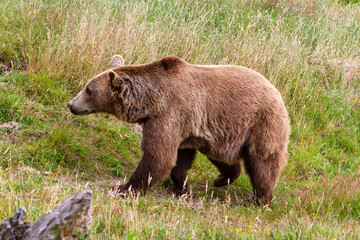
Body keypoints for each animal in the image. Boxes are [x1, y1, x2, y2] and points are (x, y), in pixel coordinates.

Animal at [67, 54, 292, 204]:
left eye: (89, 89)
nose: (71, 104)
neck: (151, 102)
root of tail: (277, 91)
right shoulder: (184, 127)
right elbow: (178, 159)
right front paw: (182, 188)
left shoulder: (169, 114)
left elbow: (159, 156)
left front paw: (123, 188)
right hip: (222, 133)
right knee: (222, 156)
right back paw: (222, 179)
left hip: (261, 122)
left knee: (263, 161)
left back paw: (260, 198)